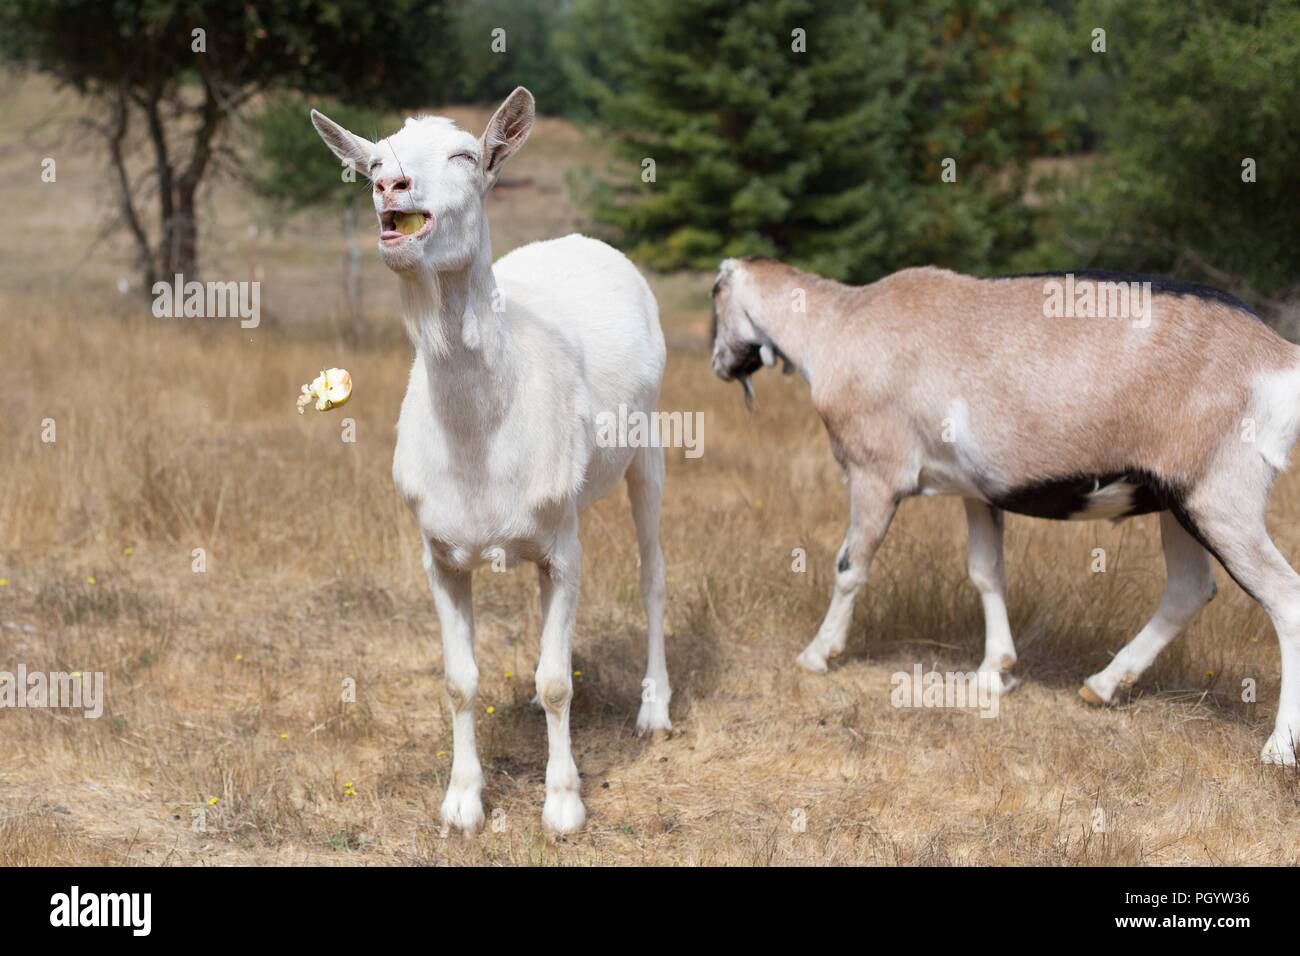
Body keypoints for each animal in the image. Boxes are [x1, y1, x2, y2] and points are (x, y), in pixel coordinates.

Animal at [311, 88, 671, 834]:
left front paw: (563, 805)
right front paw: (462, 802)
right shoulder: (438, 551)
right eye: (374, 161)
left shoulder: (565, 540)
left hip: (650, 440)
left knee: (652, 572)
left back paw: (655, 710)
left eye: (465, 156)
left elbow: (559, 682)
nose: (393, 187)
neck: (478, 447)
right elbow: (459, 680)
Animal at [710, 257, 1300, 764]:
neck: (839, 325)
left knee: (1284, 597)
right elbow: (986, 572)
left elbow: (851, 566)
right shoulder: (977, 490)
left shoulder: (874, 472)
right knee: (1188, 589)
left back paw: (1278, 748)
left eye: (717, 294)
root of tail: (1281, 358)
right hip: (1176, 499)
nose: (719, 364)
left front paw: (818, 654)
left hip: (1222, 497)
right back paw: (1101, 687)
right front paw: (995, 672)